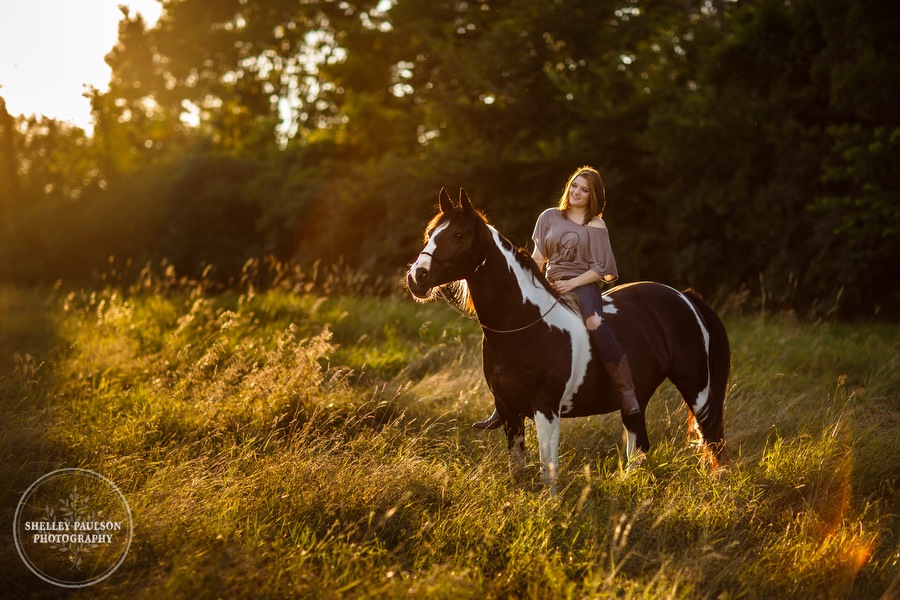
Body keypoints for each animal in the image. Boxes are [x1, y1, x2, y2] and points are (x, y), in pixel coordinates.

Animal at [404, 190, 728, 494]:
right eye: (430, 234)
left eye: (458, 235)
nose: (416, 277)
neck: (522, 323)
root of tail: (685, 297)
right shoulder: (509, 409)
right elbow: (517, 470)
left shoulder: (546, 410)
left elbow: (548, 470)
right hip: (636, 401)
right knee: (639, 449)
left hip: (697, 389)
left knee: (712, 441)